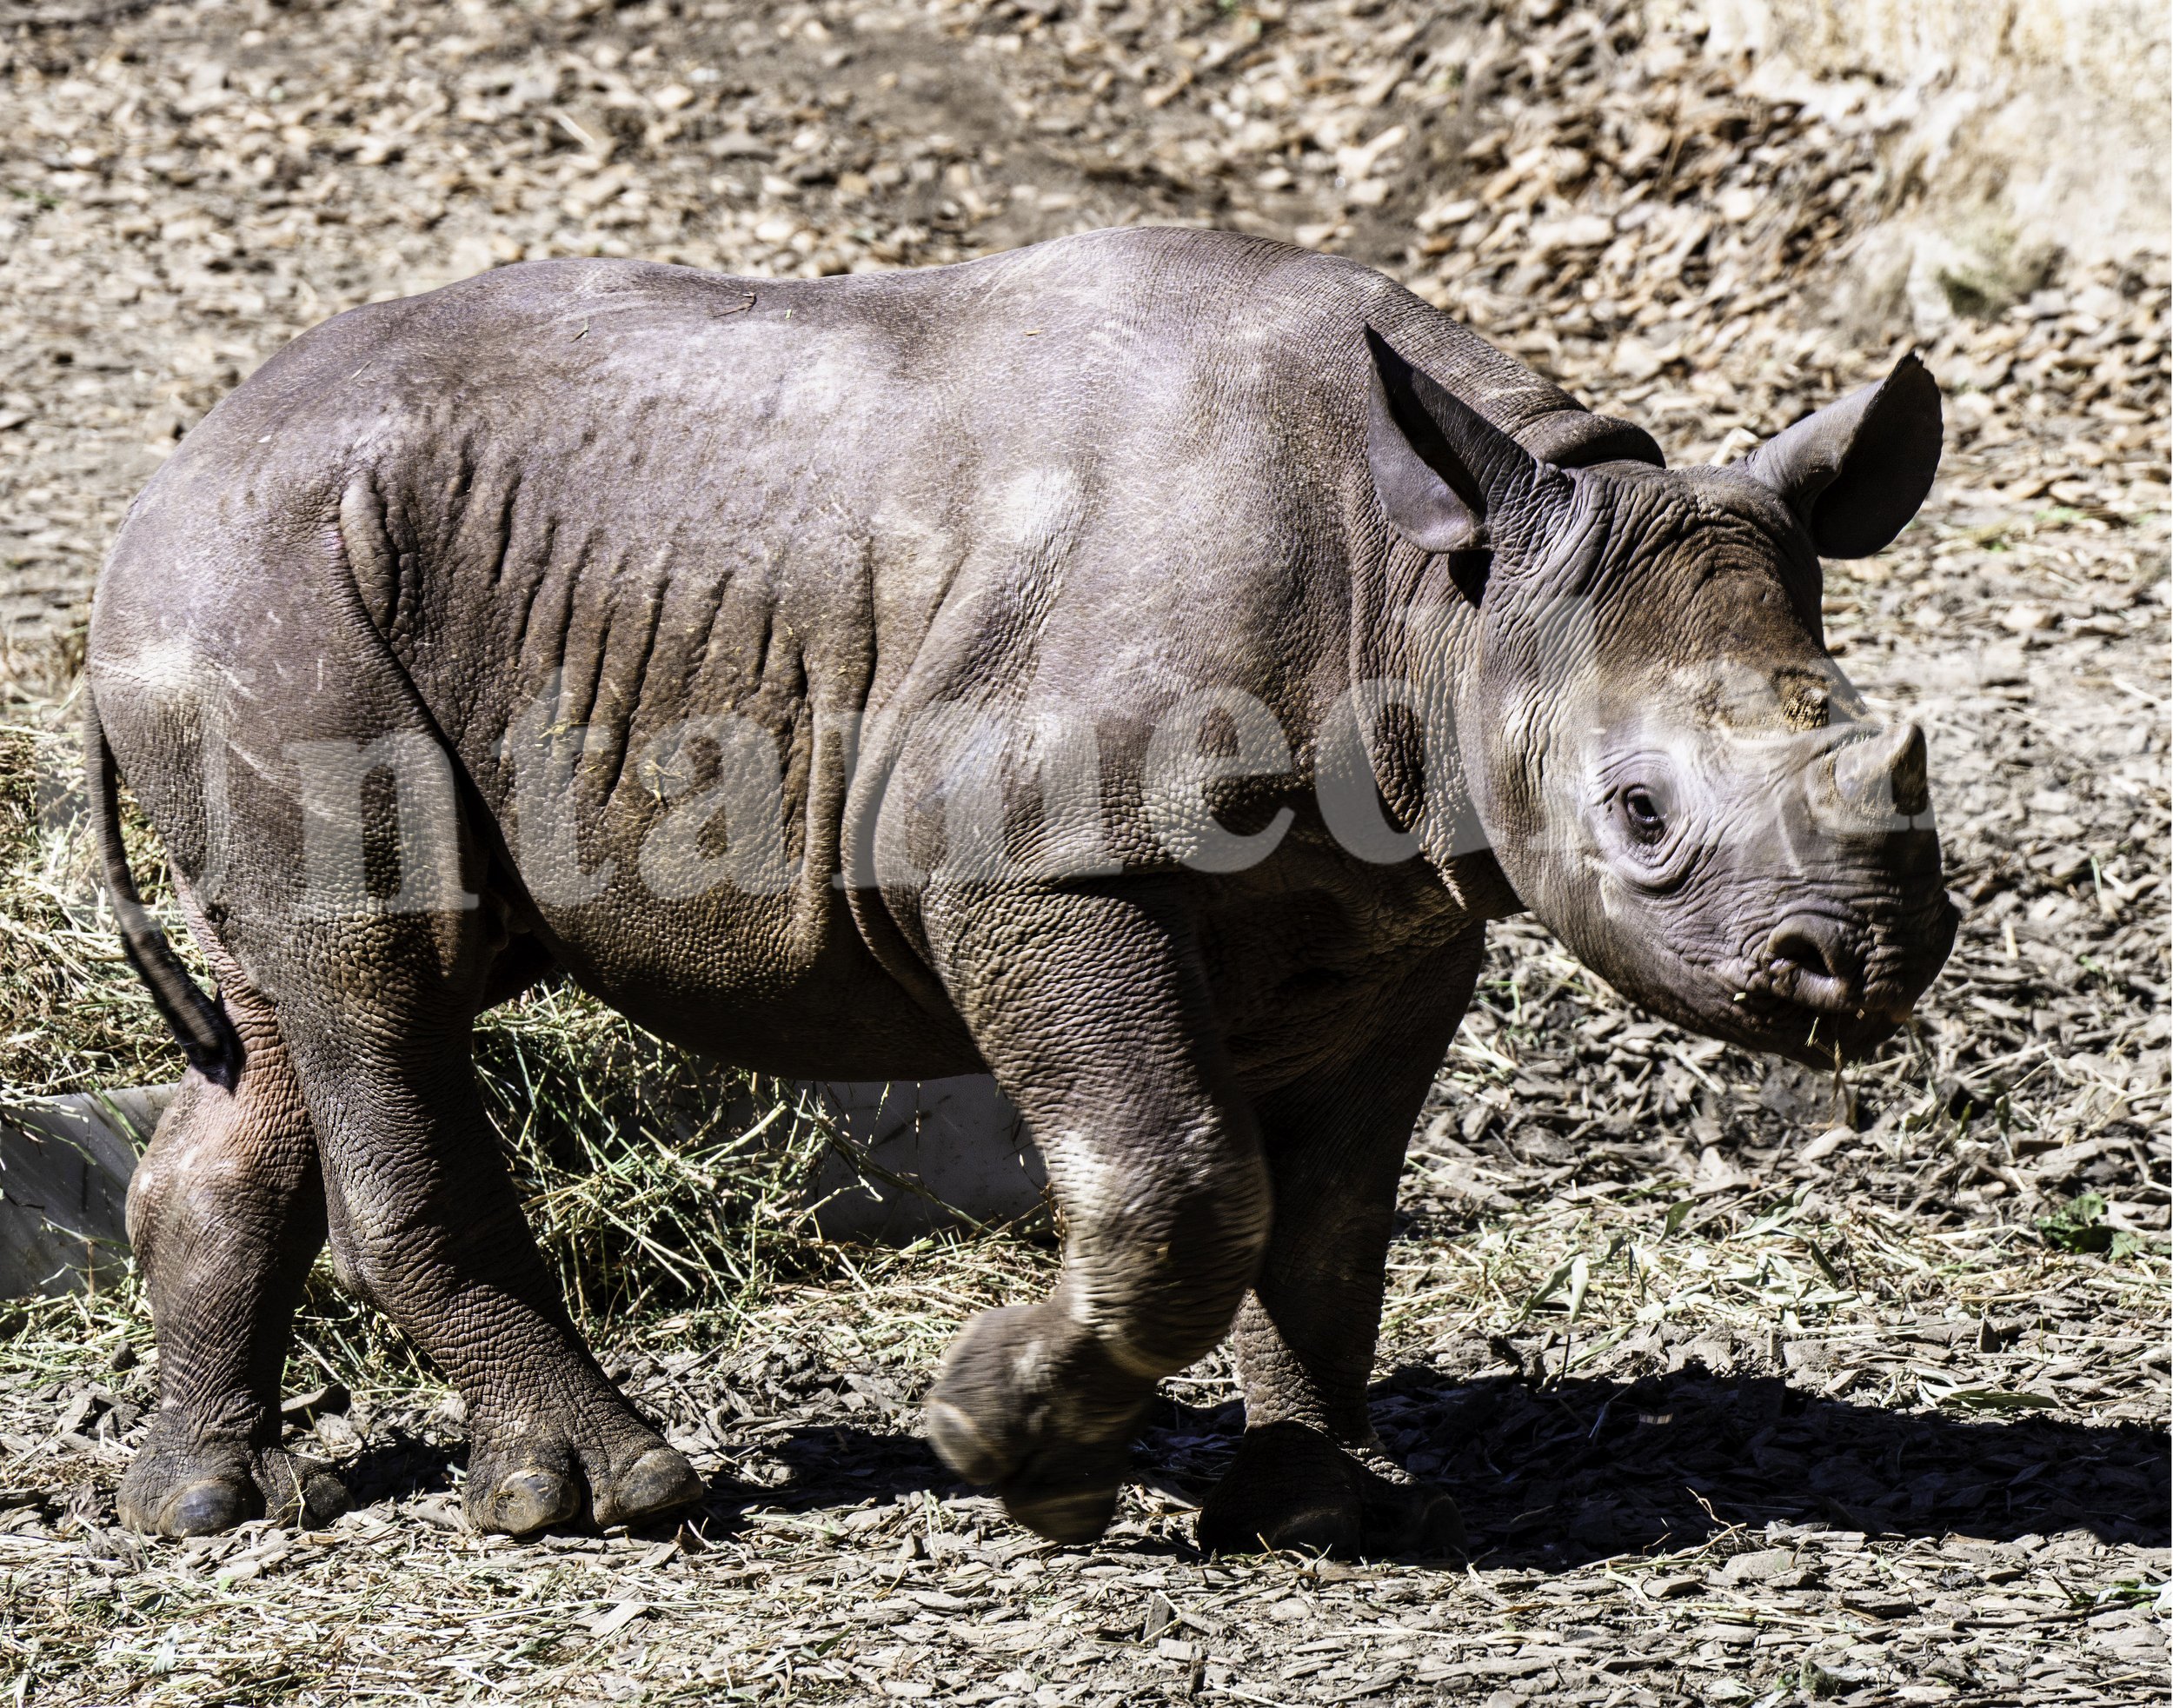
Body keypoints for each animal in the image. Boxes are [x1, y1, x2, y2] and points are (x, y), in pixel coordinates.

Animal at [86, 226, 1954, 1554]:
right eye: (1637, 814)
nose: (1857, 967)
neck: (1446, 598)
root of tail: (165, 480)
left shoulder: (1406, 907)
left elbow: (1334, 1218)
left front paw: (1314, 1511)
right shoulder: (1028, 850)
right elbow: (1179, 1180)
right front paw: (1012, 1451)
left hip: (291, 579)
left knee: (296, 1012)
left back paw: (211, 1504)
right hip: (265, 586)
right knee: (381, 969)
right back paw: (609, 1497)